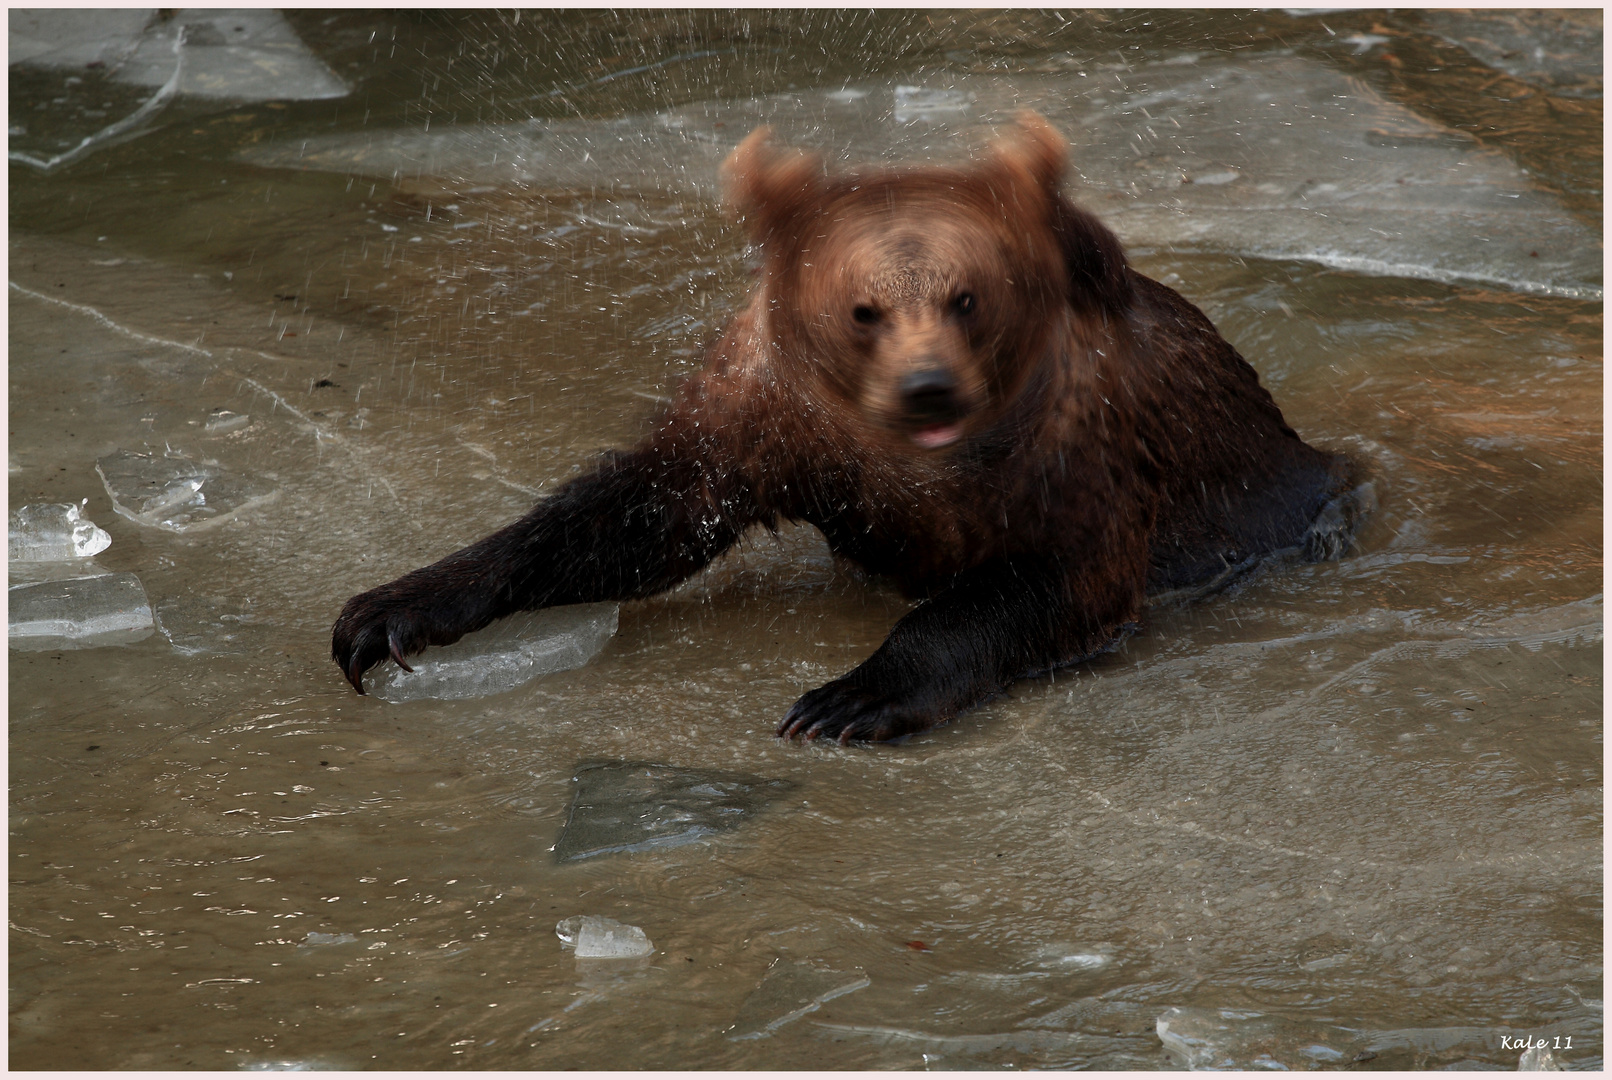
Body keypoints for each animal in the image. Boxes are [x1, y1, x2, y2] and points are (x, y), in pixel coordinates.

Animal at [330, 114, 1360, 747]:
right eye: (865, 307)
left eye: (967, 295)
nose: (928, 391)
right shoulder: (772, 418)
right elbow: (636, 514)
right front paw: (388, 613)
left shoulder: (1077, 455)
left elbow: (1049, 579)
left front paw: (847, 698)